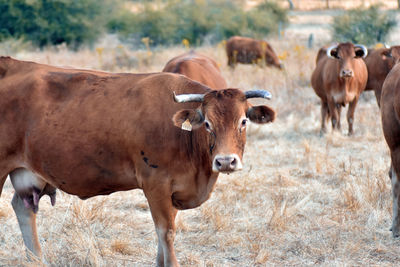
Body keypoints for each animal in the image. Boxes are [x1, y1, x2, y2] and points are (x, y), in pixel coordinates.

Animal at [0, 56, 276, 266]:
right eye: (207, 124)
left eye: (243, 121)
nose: (226, 161)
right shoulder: (156, 184)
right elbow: (166, 232)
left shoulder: (172, 191)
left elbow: (163, 235)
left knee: (23, 207)